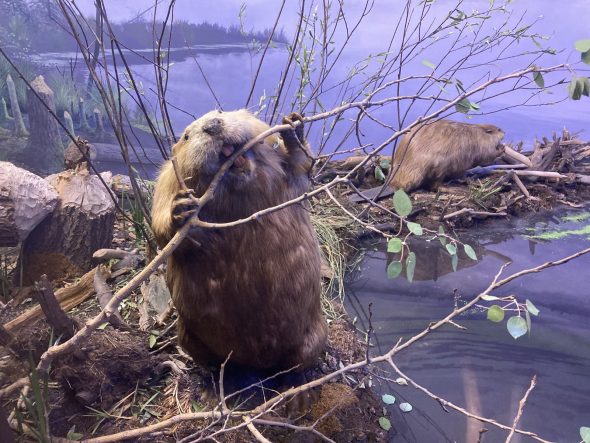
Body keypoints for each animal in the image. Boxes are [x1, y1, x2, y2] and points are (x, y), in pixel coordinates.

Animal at [151, 110, 328, 372]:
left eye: (221, 111)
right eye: (186, 136)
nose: (213, 125)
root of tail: (256, 364)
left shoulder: (288, 182)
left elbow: (301, 169)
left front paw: (293, 126)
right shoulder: (166, 180)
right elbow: (160, 227)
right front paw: (181, 209)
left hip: (316, 334)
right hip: (186, 334)